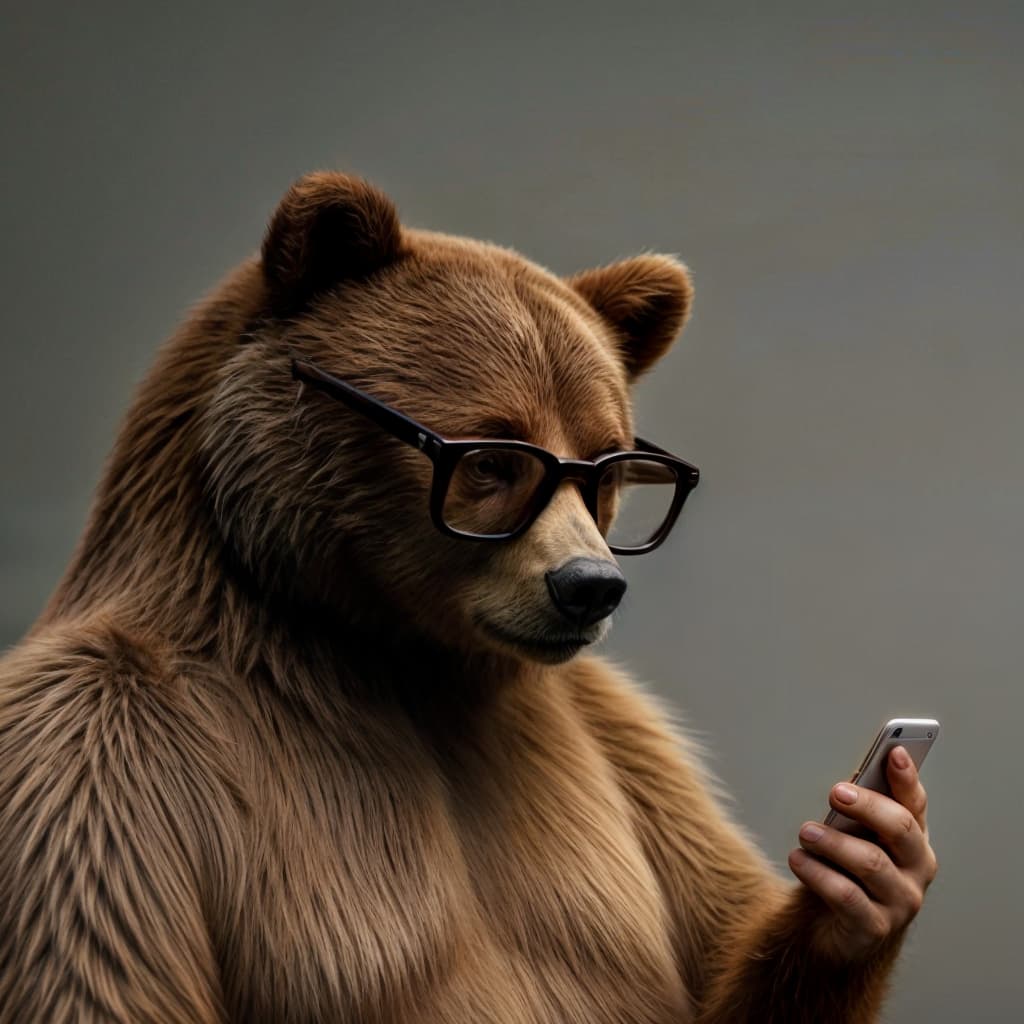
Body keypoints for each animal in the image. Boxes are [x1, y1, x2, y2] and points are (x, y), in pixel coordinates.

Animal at [0, 172, 935, 1023]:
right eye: (493, 458)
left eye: (607, 465)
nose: (590, 586)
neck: (384, 650)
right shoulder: (92, 769)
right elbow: (102, 971)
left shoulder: (622, 741)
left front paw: (865, 880)